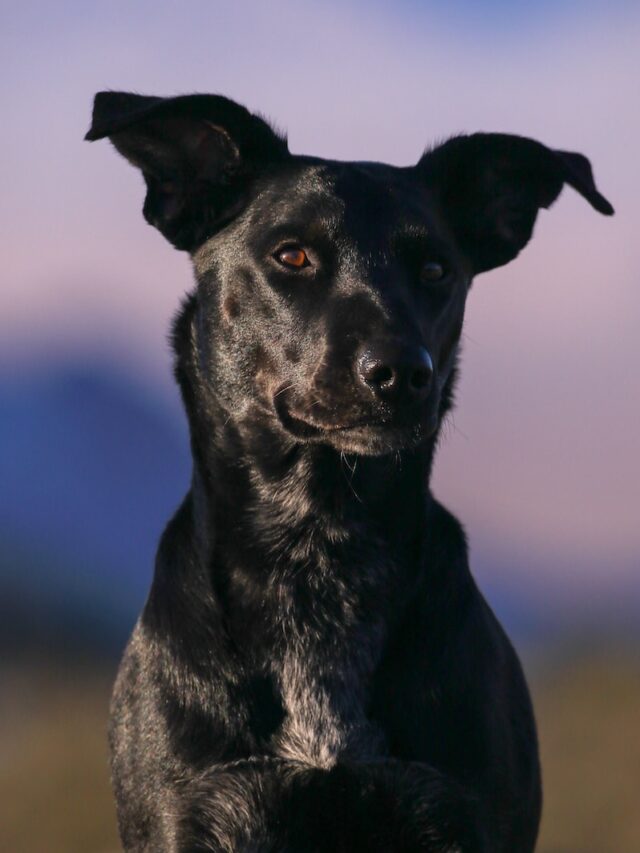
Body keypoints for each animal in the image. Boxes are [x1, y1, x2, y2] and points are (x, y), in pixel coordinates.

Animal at [84, 90, 608, 848]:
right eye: (292, 255)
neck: (320, 542)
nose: (403, 373)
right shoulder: (195, 811)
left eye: (436, 270)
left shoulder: (459, 811)